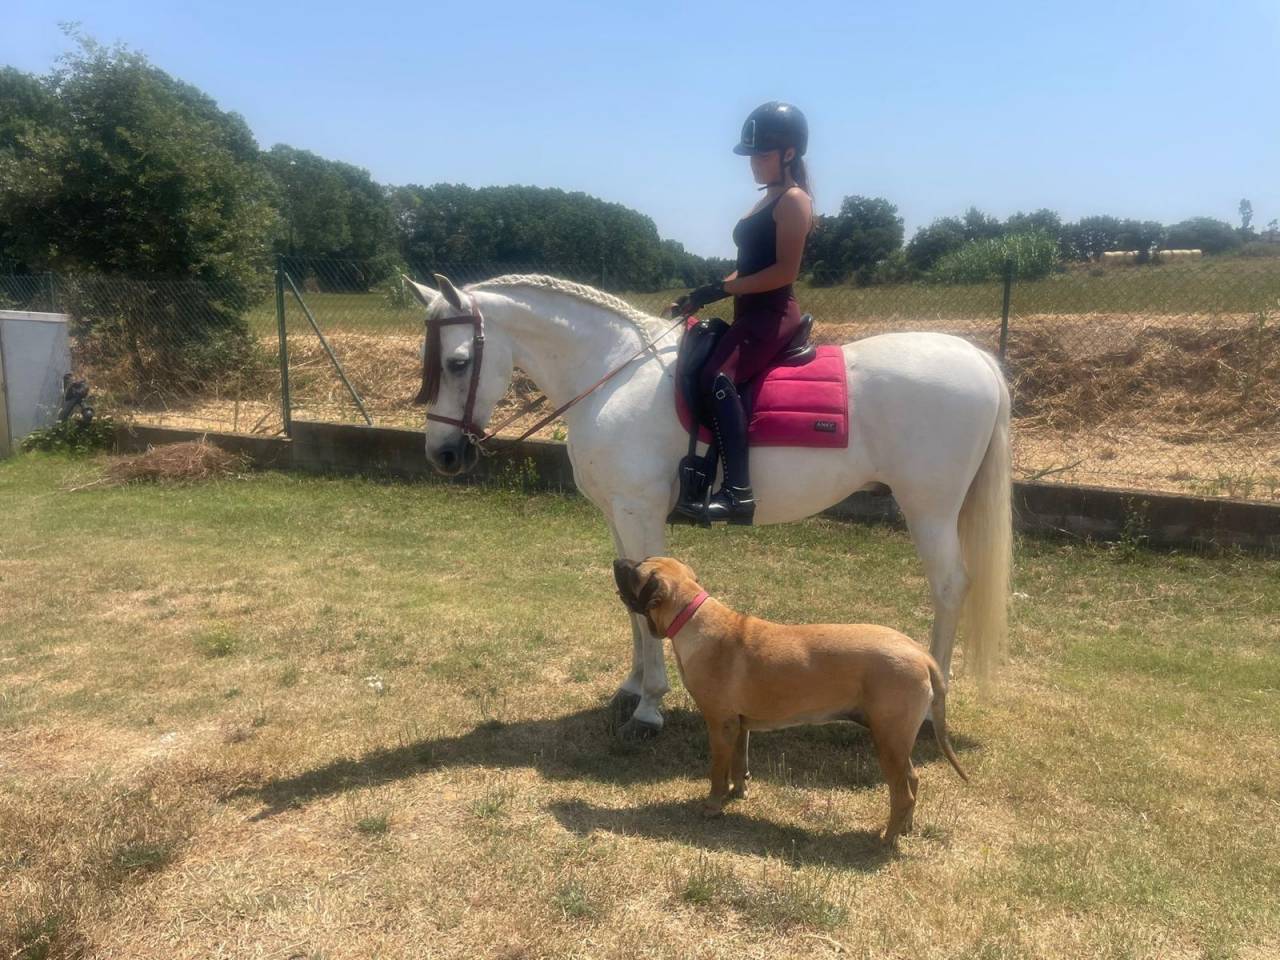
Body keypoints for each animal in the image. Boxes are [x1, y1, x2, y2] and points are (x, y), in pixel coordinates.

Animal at [404, 273, 1011, 741]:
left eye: (457, 362)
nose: (442, 455)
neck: (614, 374)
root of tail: (977, 359)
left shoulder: (640, 514)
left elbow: (648, 603)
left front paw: (649, 709)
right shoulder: (617, 516)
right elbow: (630, 605)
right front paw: (630, 689)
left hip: (929, 509)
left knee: (950, 587)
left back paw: (931, 710)